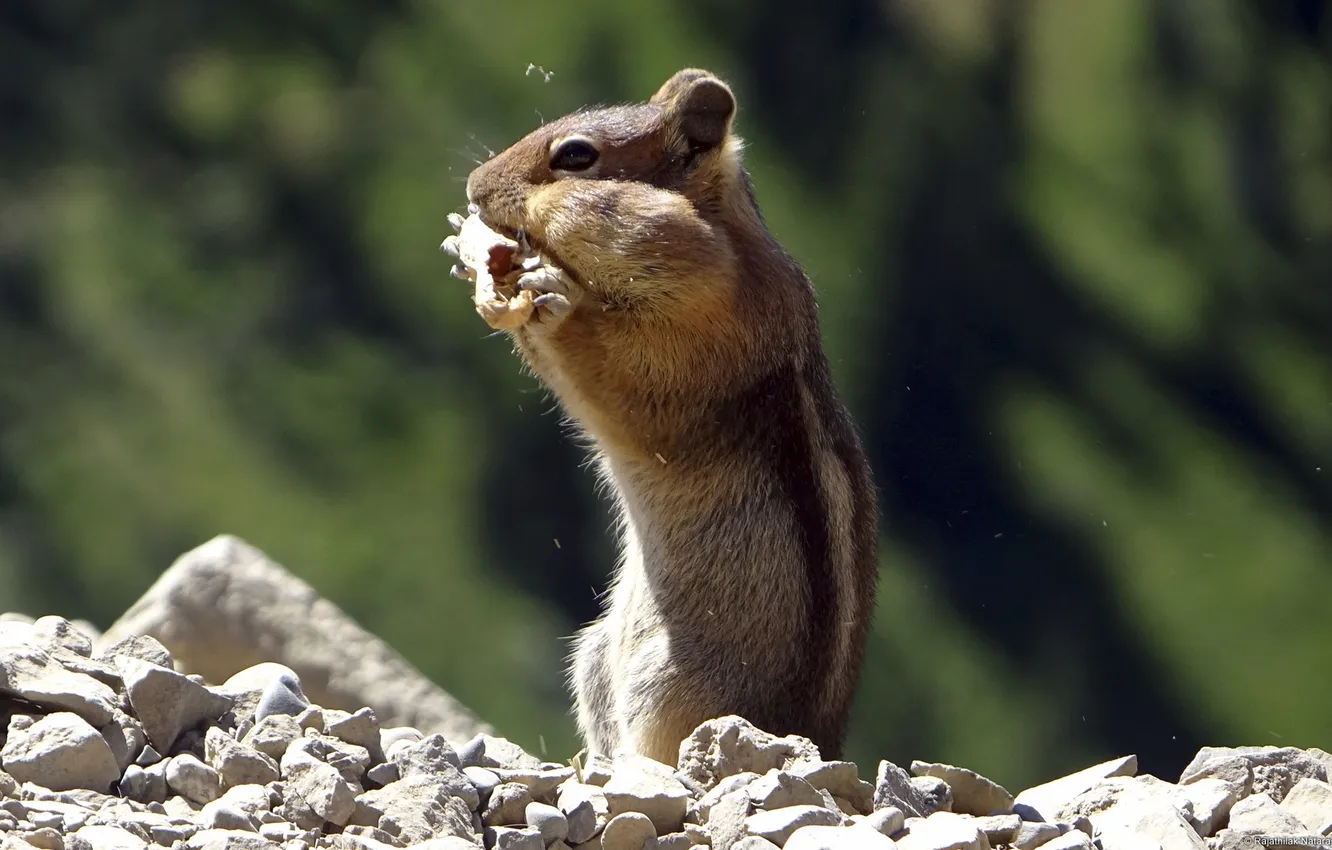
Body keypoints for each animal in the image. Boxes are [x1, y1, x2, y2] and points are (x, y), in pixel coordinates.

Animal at [458, 68, 879, 765]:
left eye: (576, 156)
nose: (474, 187)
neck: (725, 243)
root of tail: (823, 745)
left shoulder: (706, 327)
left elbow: (628, 380)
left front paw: (549, 299)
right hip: (597, 656)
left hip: (673, 683)